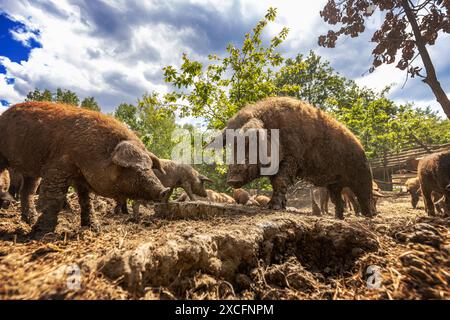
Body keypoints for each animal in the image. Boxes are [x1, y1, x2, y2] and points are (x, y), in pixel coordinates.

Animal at [0, 101, 170, 236]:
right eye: (134, 168)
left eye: (150, 167)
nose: (165, 191)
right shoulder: (57, 166)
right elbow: (54, 198)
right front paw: (40, 234)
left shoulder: (81, 178)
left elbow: (86, 201)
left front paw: (95, 229)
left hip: (30, 171)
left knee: (27, 191)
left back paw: (29, 220)